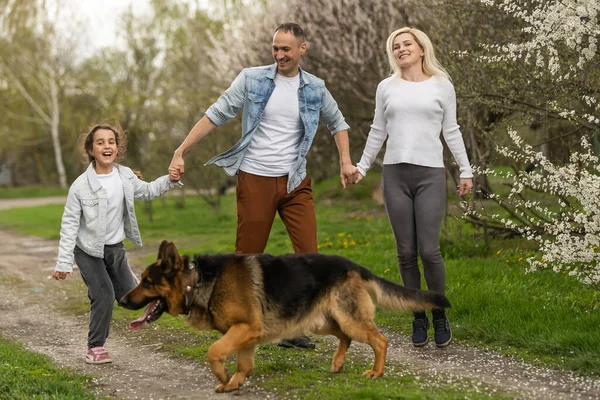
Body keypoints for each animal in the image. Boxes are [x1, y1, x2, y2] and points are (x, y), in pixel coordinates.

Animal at [120, 242, 450, 392]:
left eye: (147, 282)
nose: (121, 300)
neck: (197, 280)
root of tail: (354, 265)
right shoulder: (246, 335)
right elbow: (243, 363)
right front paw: (235, 382)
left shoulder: (245, 329)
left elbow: (214, 351)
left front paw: (224, 377)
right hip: (323, 322)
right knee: (345, 338)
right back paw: (338, 364)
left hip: (349, 318)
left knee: (379, 340)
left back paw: (376, 372)